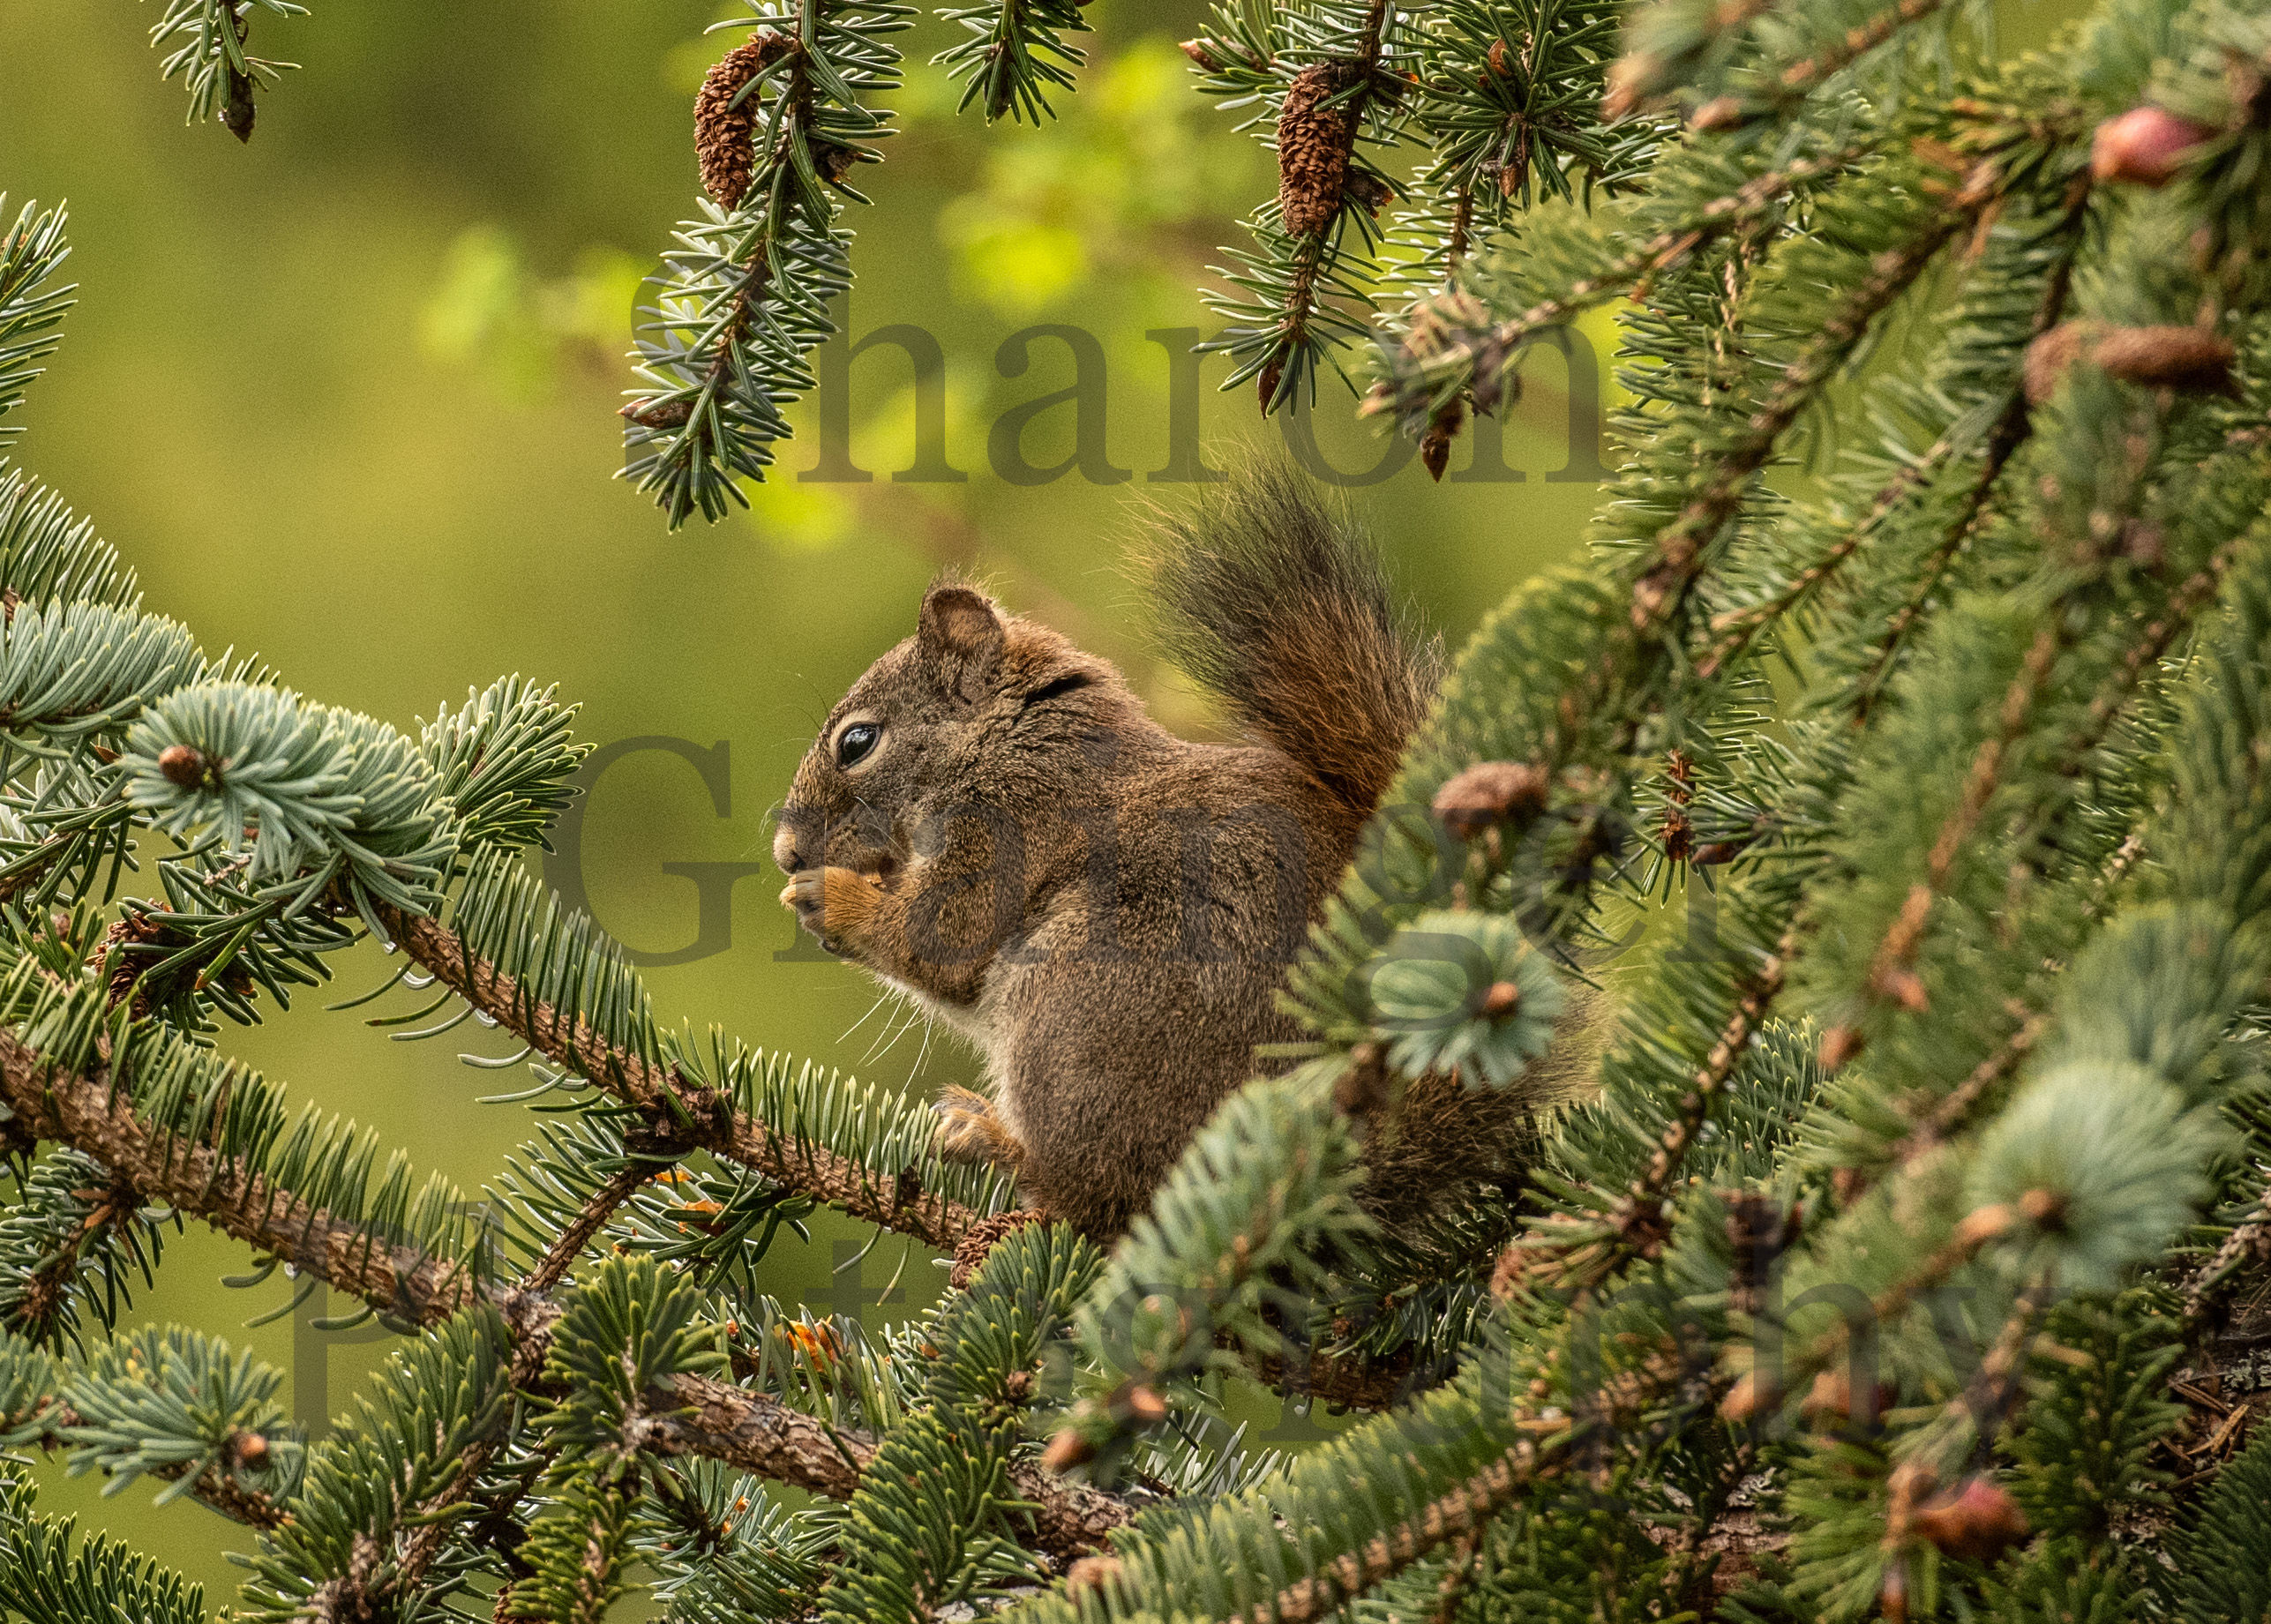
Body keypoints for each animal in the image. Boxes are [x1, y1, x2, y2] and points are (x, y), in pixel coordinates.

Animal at [774, 465, 1591, 1242]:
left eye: (857, 741)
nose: (784, 852)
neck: (1005, 740)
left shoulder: (1011, 824)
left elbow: (943, 938)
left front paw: (830, 897)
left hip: (1080, 1008)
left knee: (1101, 1197)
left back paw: (995, 1139)